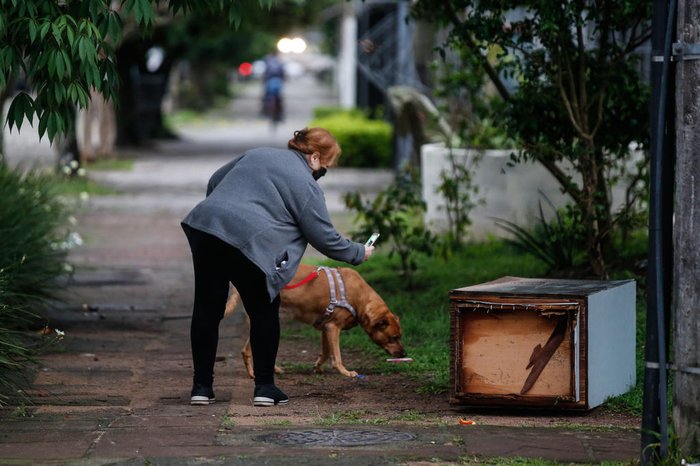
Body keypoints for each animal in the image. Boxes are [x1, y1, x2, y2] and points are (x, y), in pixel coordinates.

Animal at [226, 264, 404, 376]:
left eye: (399, 337)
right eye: (393, 338)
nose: (404, 353)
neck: (360, 297)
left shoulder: (326, 328)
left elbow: (325, 352)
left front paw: (318, 368)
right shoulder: (333, 327)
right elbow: (336, 356)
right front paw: (346, 372)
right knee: (247, 351)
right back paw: (253, 375)